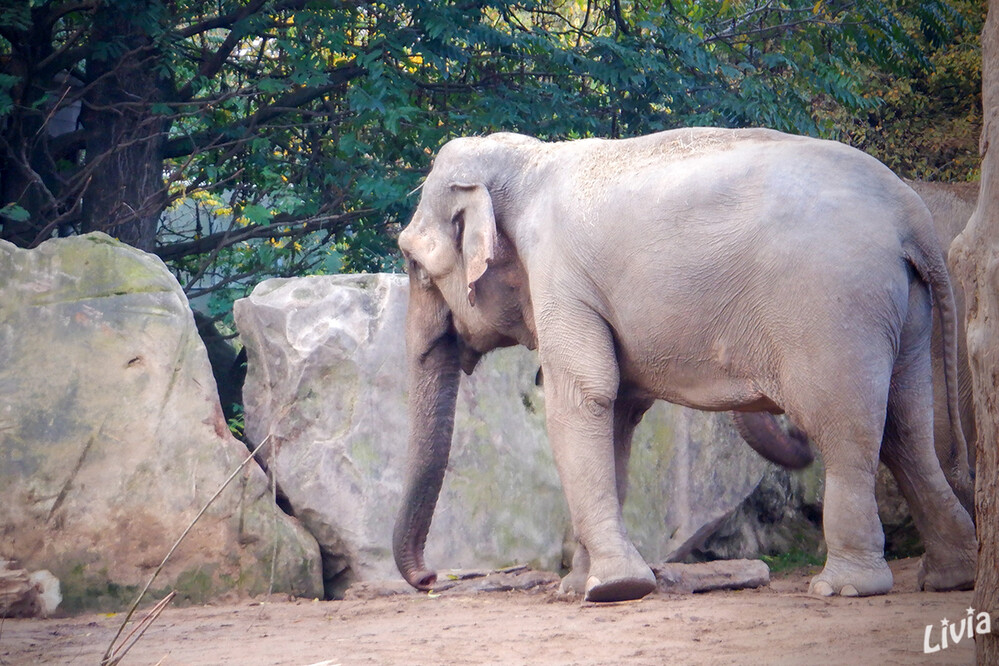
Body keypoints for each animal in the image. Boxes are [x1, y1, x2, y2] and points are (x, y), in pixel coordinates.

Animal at [390, 128, 976, 600]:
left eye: (414, 265)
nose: (431, 579)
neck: (529, 161)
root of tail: (911, 215)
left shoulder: (559, 275)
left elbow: (582, 397)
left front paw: (613, 589)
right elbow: (617, 412)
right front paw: (580, 586)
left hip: (836, 308)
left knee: (846, 428)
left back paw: (844, 587)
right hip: (906, 311)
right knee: (908, 430)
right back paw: (949, 578)